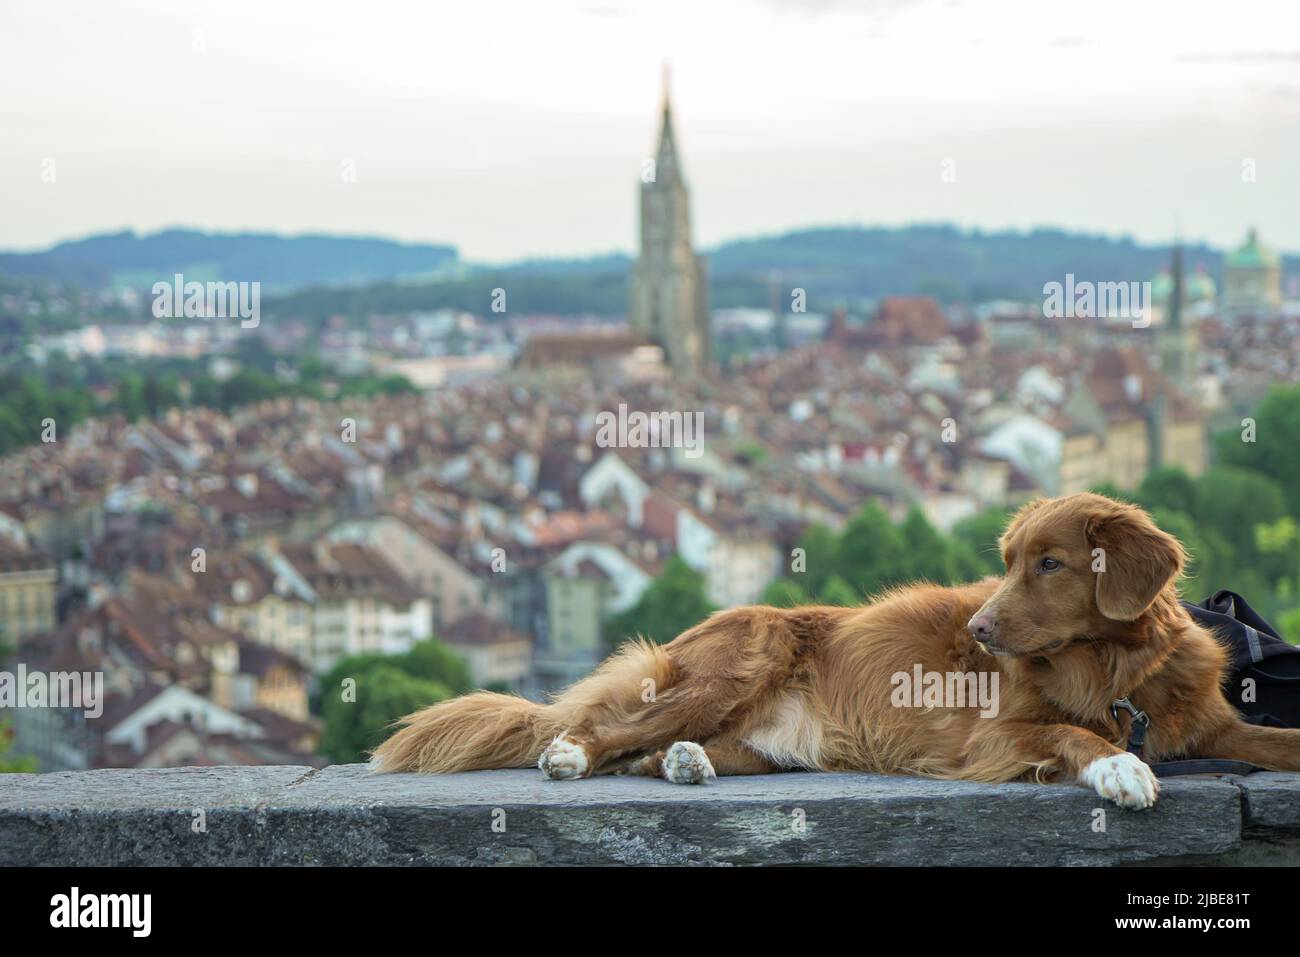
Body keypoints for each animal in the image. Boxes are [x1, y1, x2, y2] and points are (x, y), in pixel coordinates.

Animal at [366, 494, 1300, 806]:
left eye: (1050, 563)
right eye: (1006, 562)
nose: (979, 630)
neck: (1115, 668)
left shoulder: (1213, 727)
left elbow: (1275, 739)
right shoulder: (995, 735)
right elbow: (1075, 733)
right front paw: (1118, 765)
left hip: (758, 730)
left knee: (651, 755)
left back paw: (685, 763)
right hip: (744, 653)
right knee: (603, 735)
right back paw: (569, 752)